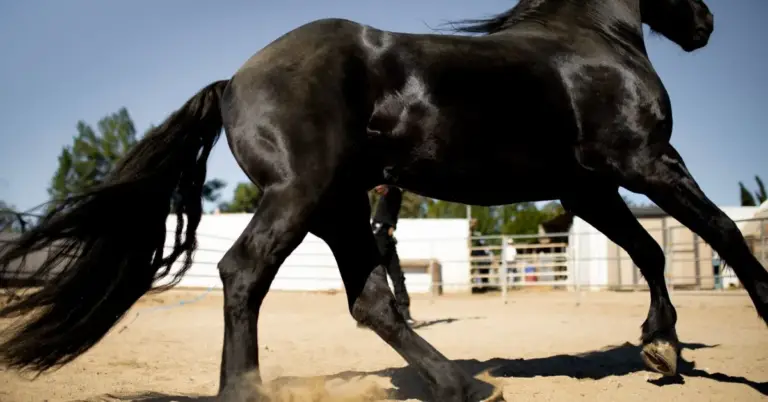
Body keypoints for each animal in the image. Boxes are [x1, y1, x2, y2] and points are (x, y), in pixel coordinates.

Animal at [1, 0, 765, 400]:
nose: (706, 23)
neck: (592, 43)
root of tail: (233, 82)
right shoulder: (646, 163)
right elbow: (723, 233)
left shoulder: (592, 185)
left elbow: (650, 253)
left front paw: (661, 348)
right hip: (301, 198)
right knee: (243, 273)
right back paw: (246, 391)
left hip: (336, 210)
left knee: (371, 302)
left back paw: (463, 384)